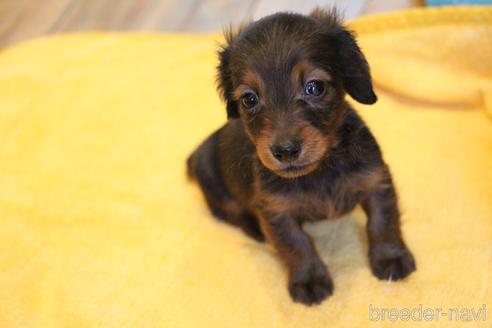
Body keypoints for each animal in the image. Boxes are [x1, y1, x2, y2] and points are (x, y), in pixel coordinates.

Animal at [187, 8, 416, 304]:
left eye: (314, 87)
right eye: (249, 99)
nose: (285, 150)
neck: (321, 169)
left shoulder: (375, 180)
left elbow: (382, 222)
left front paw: (390, 258)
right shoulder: (276, 211)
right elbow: (297, 244)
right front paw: (309, 280)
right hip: (215, 187)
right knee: (230, 214)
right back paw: (255, 229)